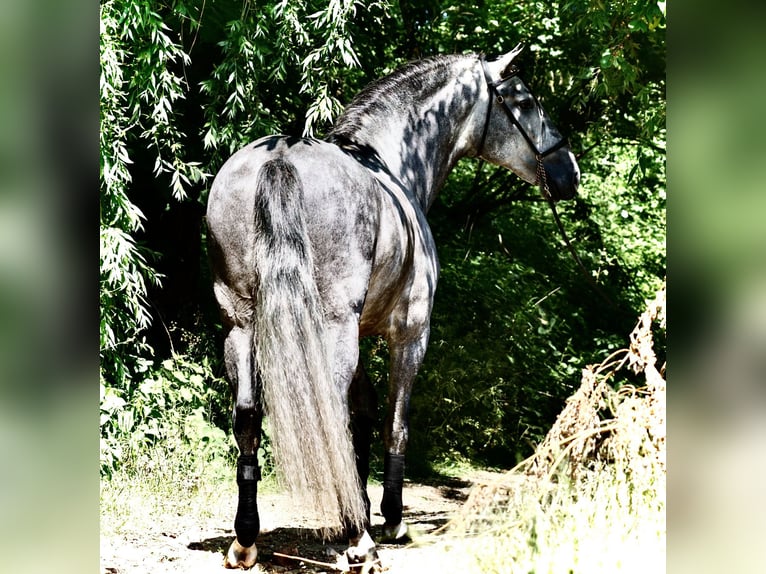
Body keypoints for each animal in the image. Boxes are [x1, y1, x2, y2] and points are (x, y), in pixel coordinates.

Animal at [206, 45, 580, 569]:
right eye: (525, 101)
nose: (569, 172)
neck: (390, 164)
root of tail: (278, 160)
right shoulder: (410, 334)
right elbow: (393, 424)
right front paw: (387, 519)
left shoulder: (358, 333)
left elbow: (363, 415)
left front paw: (356, 510)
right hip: (332, 328)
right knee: (330, 416)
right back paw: (360, 541)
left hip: (240, 327)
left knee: (248, 418)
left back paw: (247, 539)